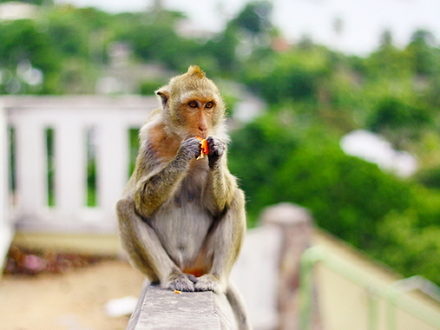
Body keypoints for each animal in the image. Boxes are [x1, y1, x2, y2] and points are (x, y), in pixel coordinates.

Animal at [117, 65, 251, 328]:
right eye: (192, 105)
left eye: (208, 106)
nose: (202, 127)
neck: (177, 135)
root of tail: (191, 268)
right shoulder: (149, 138)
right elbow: (141, 202)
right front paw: (183, 155)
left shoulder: (221, 135)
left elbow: (219, 204)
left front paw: (215, 154)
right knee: (125, 206)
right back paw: (172, 277)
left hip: (204, 258)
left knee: (235, 199)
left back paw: (215, 279)